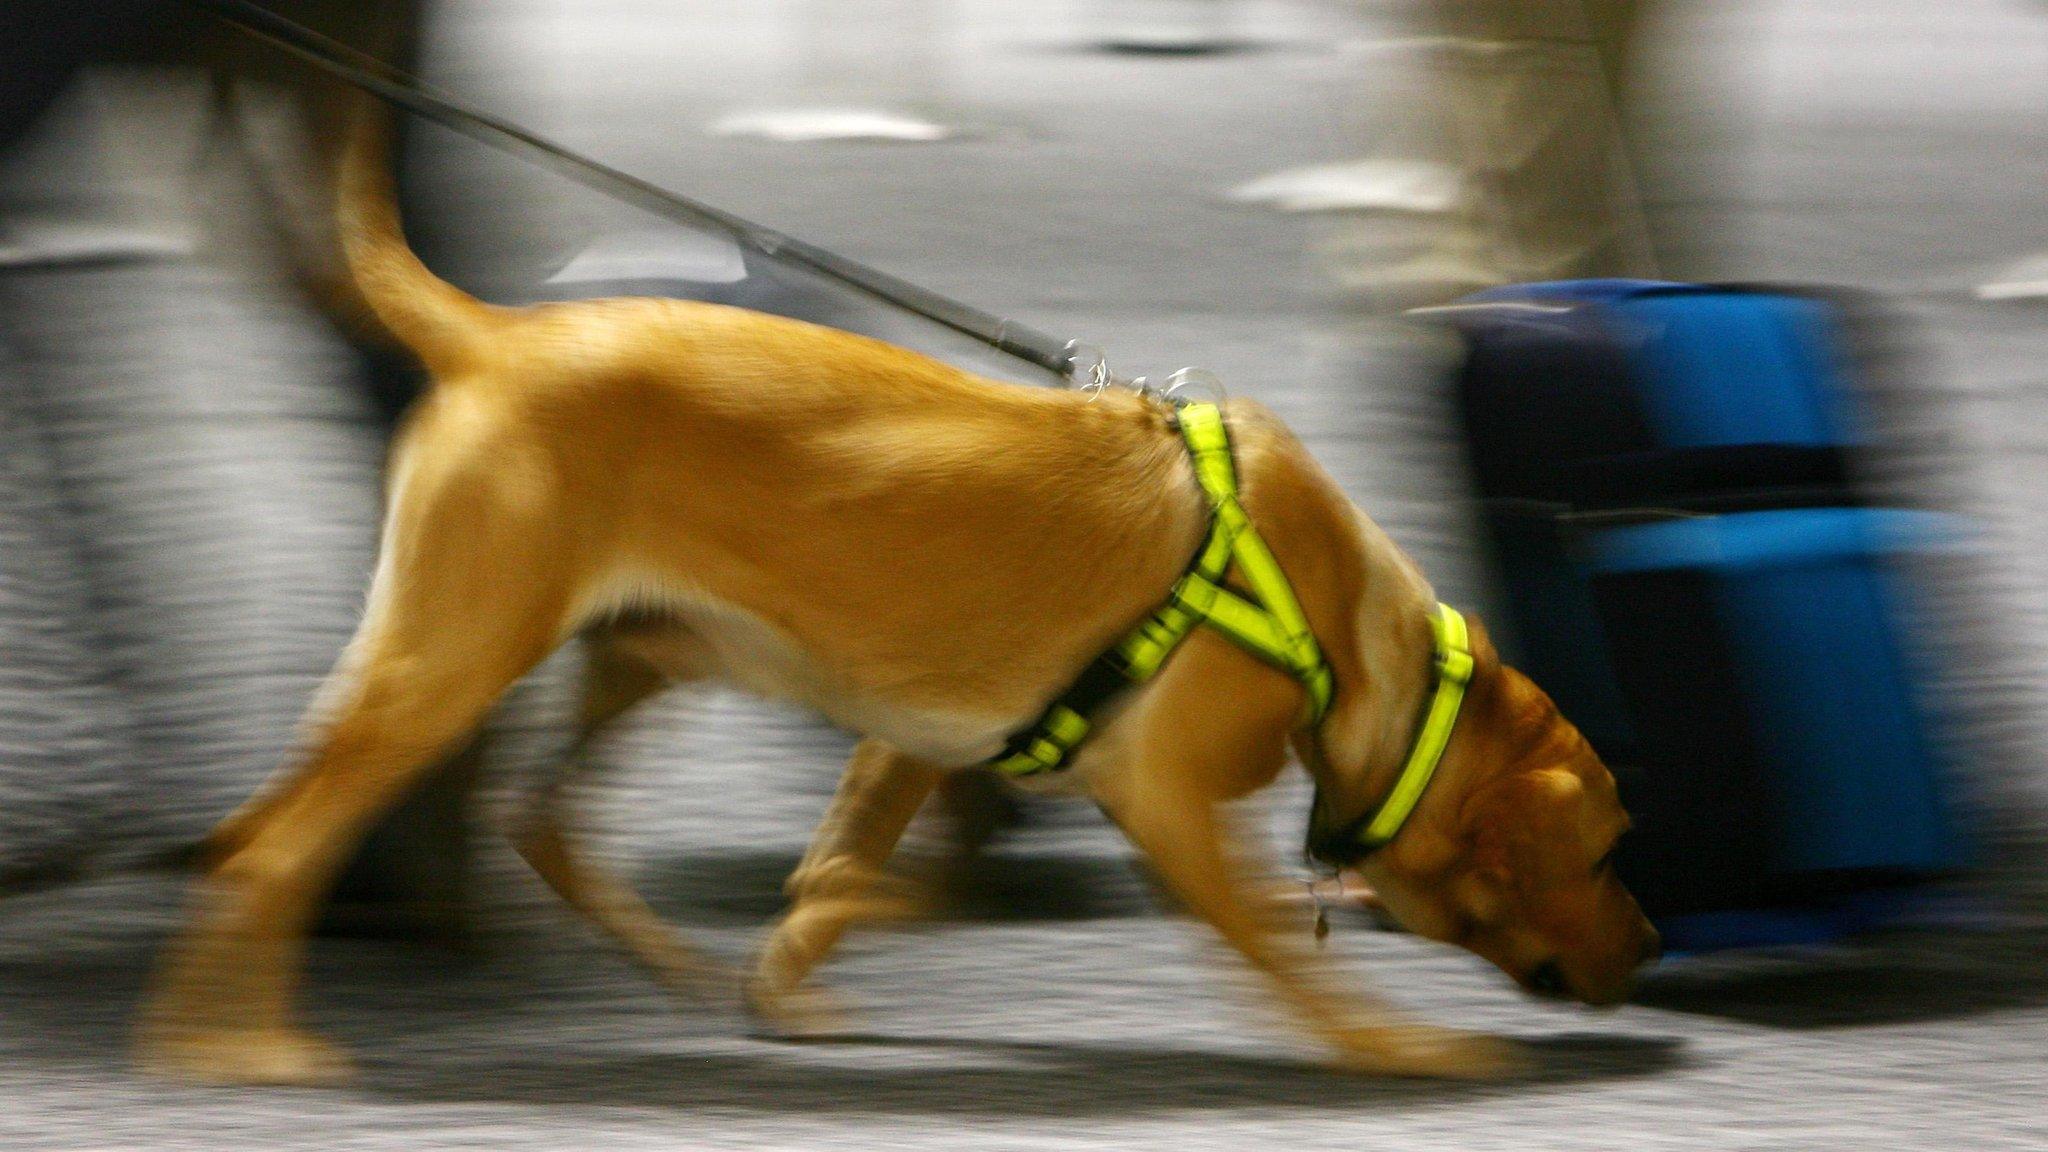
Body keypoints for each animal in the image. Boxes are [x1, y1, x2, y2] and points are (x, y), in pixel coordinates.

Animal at [140, 105, 1662, 1074]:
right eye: (1603, 854)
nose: (1652, 947)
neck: (1330, 622)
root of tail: (494, 335)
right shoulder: (1161, 803)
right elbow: (1279, 961)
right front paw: (1398, 1047)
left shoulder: (911, 743)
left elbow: (847, 873)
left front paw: (793, 964)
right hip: (457, 663)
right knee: (282, 848)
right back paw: (237, 1049)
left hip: (619, 654)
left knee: (497, 820)